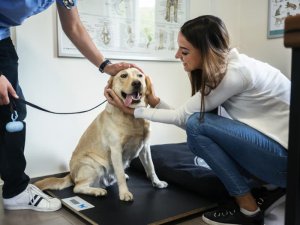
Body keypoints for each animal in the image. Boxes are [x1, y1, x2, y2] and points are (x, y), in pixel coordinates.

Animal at [34, 67, 169, 201]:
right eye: (123, 75)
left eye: (140, 75)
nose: (137, 83)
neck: (132, 117)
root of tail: (71, 175)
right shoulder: (116, 150)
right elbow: (120, 174)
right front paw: (124, 193)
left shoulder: (145, 148)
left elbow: (151, 167)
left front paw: (157, 182)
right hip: (94, 165)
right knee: (77, 187)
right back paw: (97, 191)